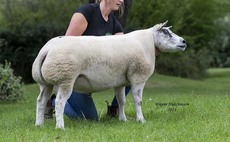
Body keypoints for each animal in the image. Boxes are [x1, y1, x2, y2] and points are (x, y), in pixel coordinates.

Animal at [32, 21, 187, 129]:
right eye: (165, 32)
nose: (184, 42)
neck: (148, 42)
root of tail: (47, 49)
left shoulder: (120, 82)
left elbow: (121, 101)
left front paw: (123, 120)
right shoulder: (138, 76)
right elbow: (138, 101)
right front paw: (141, 120)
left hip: (45, 83)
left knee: (40, 101)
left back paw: (39, 124)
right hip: (65, 78)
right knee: (59, 102)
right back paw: (60, 127)